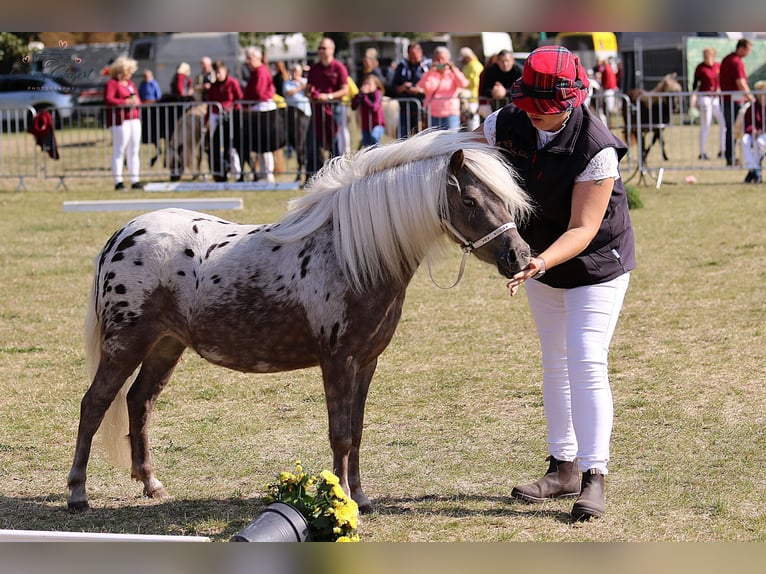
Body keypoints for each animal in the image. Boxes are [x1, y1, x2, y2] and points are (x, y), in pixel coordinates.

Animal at [66, 129, 536, 512]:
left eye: (504, 199)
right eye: (471, 201)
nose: (520, 256)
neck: (349, 255)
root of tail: (120, 236)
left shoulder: (367, 363)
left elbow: (357, 432)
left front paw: (361, 497)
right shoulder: (338, 362)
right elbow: (340, 435)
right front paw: (343, 499)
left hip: (166, 344)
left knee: (139, 402)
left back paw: (151, 484)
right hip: (124, 345)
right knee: (94, 405)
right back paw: (78, 494)